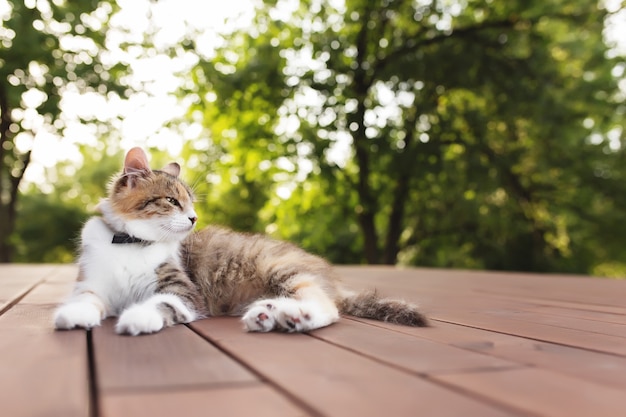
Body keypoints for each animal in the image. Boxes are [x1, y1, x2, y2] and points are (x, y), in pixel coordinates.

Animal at [53, 147, 426, 334]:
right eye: (172, 201)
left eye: (190, 203)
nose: (194, 219)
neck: (129, 242)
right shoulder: (93, 285)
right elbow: (87, 301)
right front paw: (73, 315)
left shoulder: (183, 291)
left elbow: (161, 304)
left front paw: (137, 318)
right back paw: (270, 314)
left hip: (281, 269)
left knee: (326, 306)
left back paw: (295, 316)